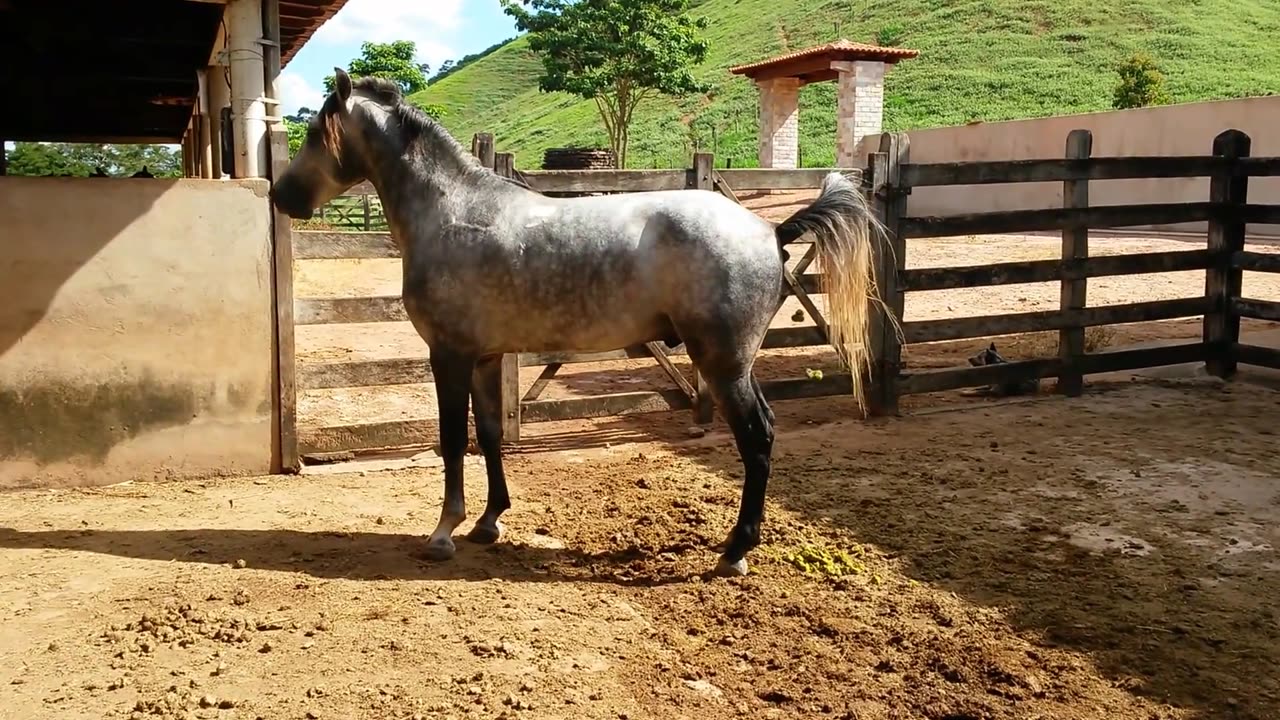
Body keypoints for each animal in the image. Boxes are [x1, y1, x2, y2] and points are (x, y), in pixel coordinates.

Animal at [270, 68, 885, 577]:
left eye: (315, 133)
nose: (280, 195)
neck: (454, 212)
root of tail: (770, 230)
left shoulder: (448, 356)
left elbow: (451, 440)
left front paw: (443, 532)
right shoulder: (485, 358)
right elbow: (488, 435)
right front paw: (489, 522)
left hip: (723, 364)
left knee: (756, 437)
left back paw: (735, 552)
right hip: (736, 364)